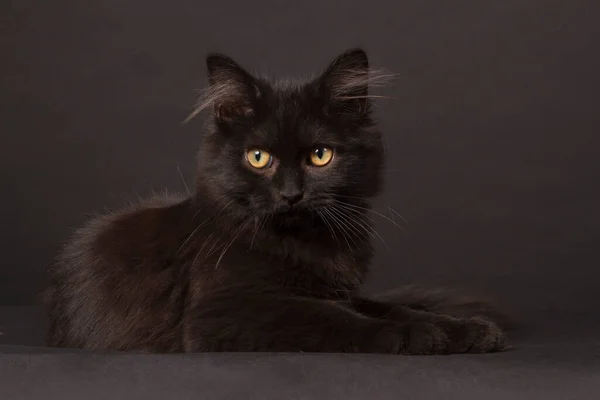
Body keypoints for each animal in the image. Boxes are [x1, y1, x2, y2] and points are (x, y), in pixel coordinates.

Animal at [45, 49, 510, 354]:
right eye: (258, 158)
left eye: (320, 155)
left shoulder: (337, 290)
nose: (290, 194)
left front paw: (463, 329)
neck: (307, 244)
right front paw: (416, 337)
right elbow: (332, 318)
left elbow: (391, 307)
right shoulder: (222, 313)